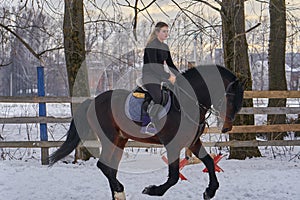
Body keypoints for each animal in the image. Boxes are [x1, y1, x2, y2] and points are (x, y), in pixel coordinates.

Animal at [47, 65, 244, 199]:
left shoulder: (193, 142)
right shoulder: (173, 144)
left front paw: (210, 191)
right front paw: (153, 190)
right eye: (231, 98)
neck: (187, 102)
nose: (227, 128)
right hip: (110, 138)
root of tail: (93, 101)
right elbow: (174, 177)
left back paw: (118, 194)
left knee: (110, 168)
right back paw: (120, 190)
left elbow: (209, 162)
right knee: (104, 166)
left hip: (120, 140)